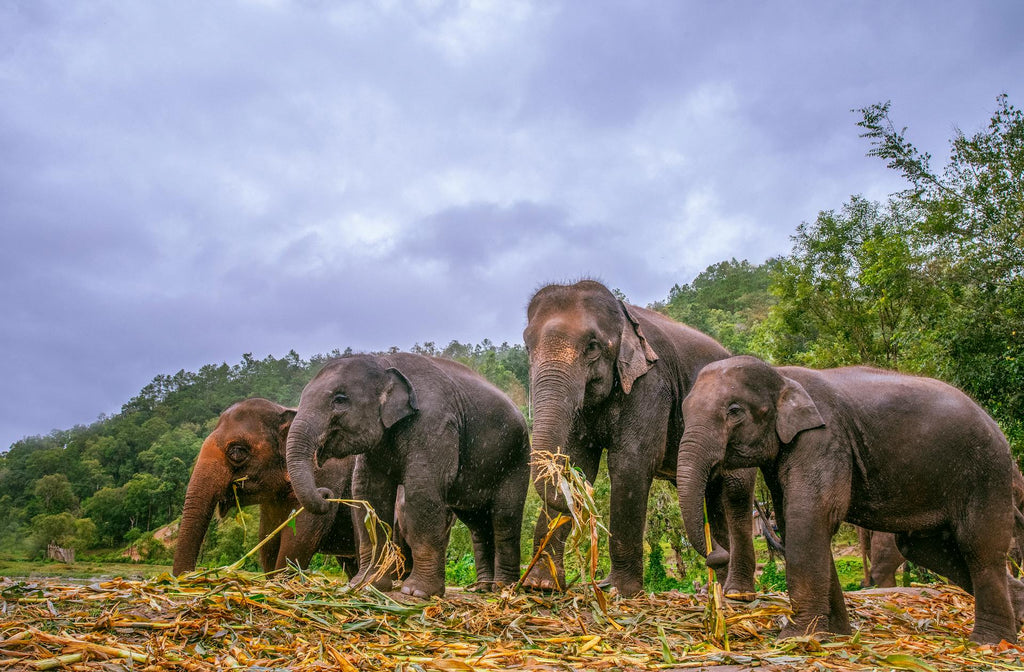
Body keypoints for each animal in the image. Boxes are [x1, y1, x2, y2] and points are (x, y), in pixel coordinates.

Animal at [173, 398, 361, 576]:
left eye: (237, 452)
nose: (326, 495)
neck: (284, 410)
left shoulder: (326, 474)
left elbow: (297, 543)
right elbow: (268, 541)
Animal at [285, 353, 531, 598]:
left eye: (340, 399)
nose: (325, 494)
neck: (384, 362)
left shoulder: (433, 424)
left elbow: (422, 490)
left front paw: (416, 592)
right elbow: (368, 492)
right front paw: (364, 585)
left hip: (517, 458)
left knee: (505, 516)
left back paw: (503, 588)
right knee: (477, 524)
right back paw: (484, 588)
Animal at [523, 280, 757, 597]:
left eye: (592, 347)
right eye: (527, 345)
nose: (581, 500)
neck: (624, 317)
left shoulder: (652, 383)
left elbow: (631, 462)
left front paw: (619, 591)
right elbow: (579, 459)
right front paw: (540, 586)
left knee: (735, 493)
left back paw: (736, 593)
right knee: (714, 496)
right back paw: (718, 590)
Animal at [677, 355, 1024, 644]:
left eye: (734, 411)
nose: (717, 555)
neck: (782, 375)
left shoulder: (824, 438)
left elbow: (810, 515)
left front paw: (797, 637)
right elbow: (792, 521)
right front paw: (835, 633)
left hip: (984, 472)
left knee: (978, 548)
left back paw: (989, 642)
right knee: (927, 548)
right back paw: (1018, 617)